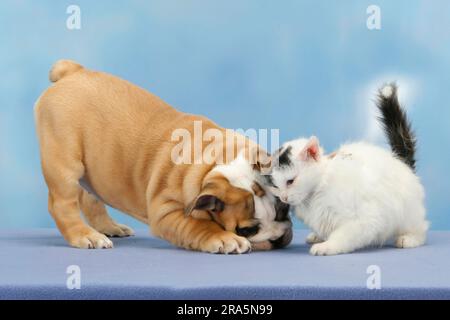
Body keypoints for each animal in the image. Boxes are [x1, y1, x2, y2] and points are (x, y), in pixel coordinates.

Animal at [36, 60, 296, 254]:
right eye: (246, 231)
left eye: (284, 210)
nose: (277, 239)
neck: (218, 159)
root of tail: (72, 72)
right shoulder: (166, 213)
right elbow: (198, 225)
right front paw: (223, 238)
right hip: (63, 163)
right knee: (62, 204)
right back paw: (86, 236)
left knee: (90, 198)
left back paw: (109, 227)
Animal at [266, 84, 430, 255]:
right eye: (275, 186)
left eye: (290, 181)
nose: (284, 198)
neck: (316, 192)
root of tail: (399, 160)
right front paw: (320, 237)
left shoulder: (364, 218)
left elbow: (342, 235)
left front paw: (327, 246)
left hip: (408, 212)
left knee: (421, 227)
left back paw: (410, 238)